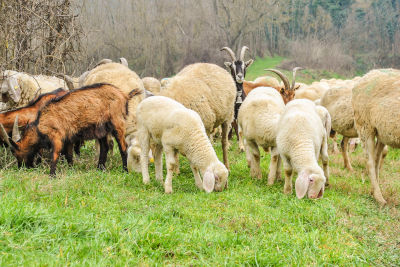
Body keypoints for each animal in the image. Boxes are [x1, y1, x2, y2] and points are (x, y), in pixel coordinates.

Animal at [0, 83, 135, 176]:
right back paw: (100, 169)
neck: (40, 122)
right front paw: (70, 169)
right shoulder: (69, 139)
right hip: (100, 129)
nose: (21, 167)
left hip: (117, 124)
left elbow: (55, 155)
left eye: (15, 152)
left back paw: (125, 170)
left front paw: (52, 175)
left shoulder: (57, 137)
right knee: (104, 147)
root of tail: (124, 95)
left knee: (123, 147)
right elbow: (69, 156)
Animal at [352, 68, 400, 205]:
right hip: (365, 126)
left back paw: (376, 192)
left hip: (382, 132)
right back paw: (379, 198)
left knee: (377, 159)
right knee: (370, 162)